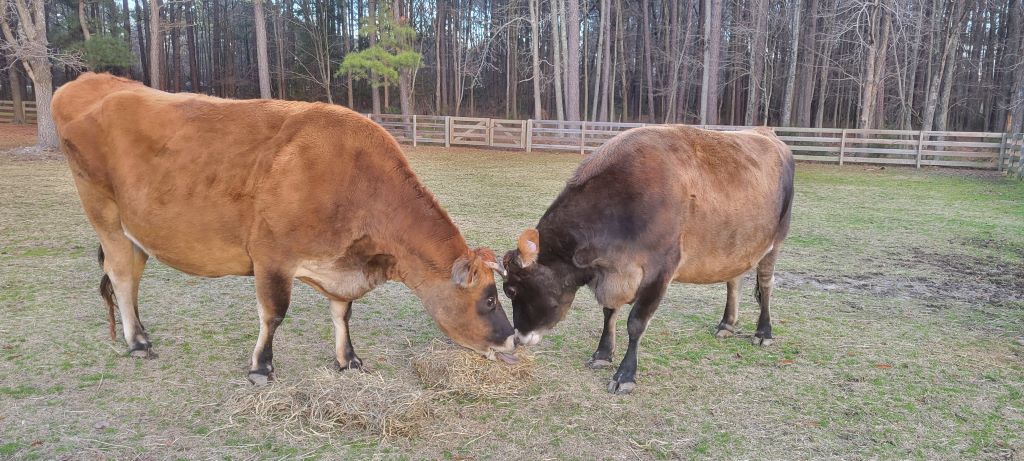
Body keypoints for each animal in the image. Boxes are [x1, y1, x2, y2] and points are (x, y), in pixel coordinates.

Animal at [51, 73, 516, 385]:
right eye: (490, 300)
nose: (513, 340)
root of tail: (88, 82)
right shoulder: (272, 256)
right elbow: (274, 314)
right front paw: (261, 367)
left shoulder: (341, 263)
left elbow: (342, 312)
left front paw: (348, 359)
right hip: (104, 214)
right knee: (120, 275)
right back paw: (138, 343)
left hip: (136, 230)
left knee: (131, 276)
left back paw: (142, 331)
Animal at [501, 125, 794, 394]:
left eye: (511, 290)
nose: (518, 337)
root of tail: (767, 132)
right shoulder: (614, 273)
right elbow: (609, 313)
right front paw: (602, 354)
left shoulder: (660, 270)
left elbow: (636, 323)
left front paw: (625, 375)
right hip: (737, 246)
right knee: (734, 281)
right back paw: (726, 324)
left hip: (776, 240)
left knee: (766, 285)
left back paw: (763, 332)